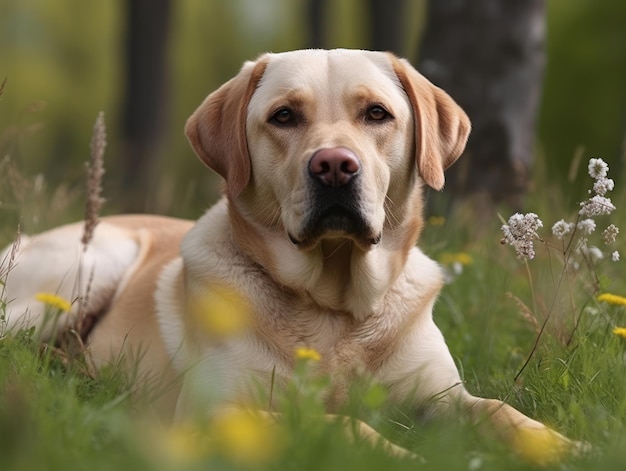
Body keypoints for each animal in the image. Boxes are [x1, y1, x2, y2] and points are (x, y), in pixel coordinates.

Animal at [0, 49, 576, 462]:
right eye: (283, 116)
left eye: (377, 113)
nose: (334, 165)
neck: (335, 307)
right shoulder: (220, 413)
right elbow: (340, 422)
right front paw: (402, 456)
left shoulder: (443, 396)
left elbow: (501, 411)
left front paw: (568, 446)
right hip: (89, 266)